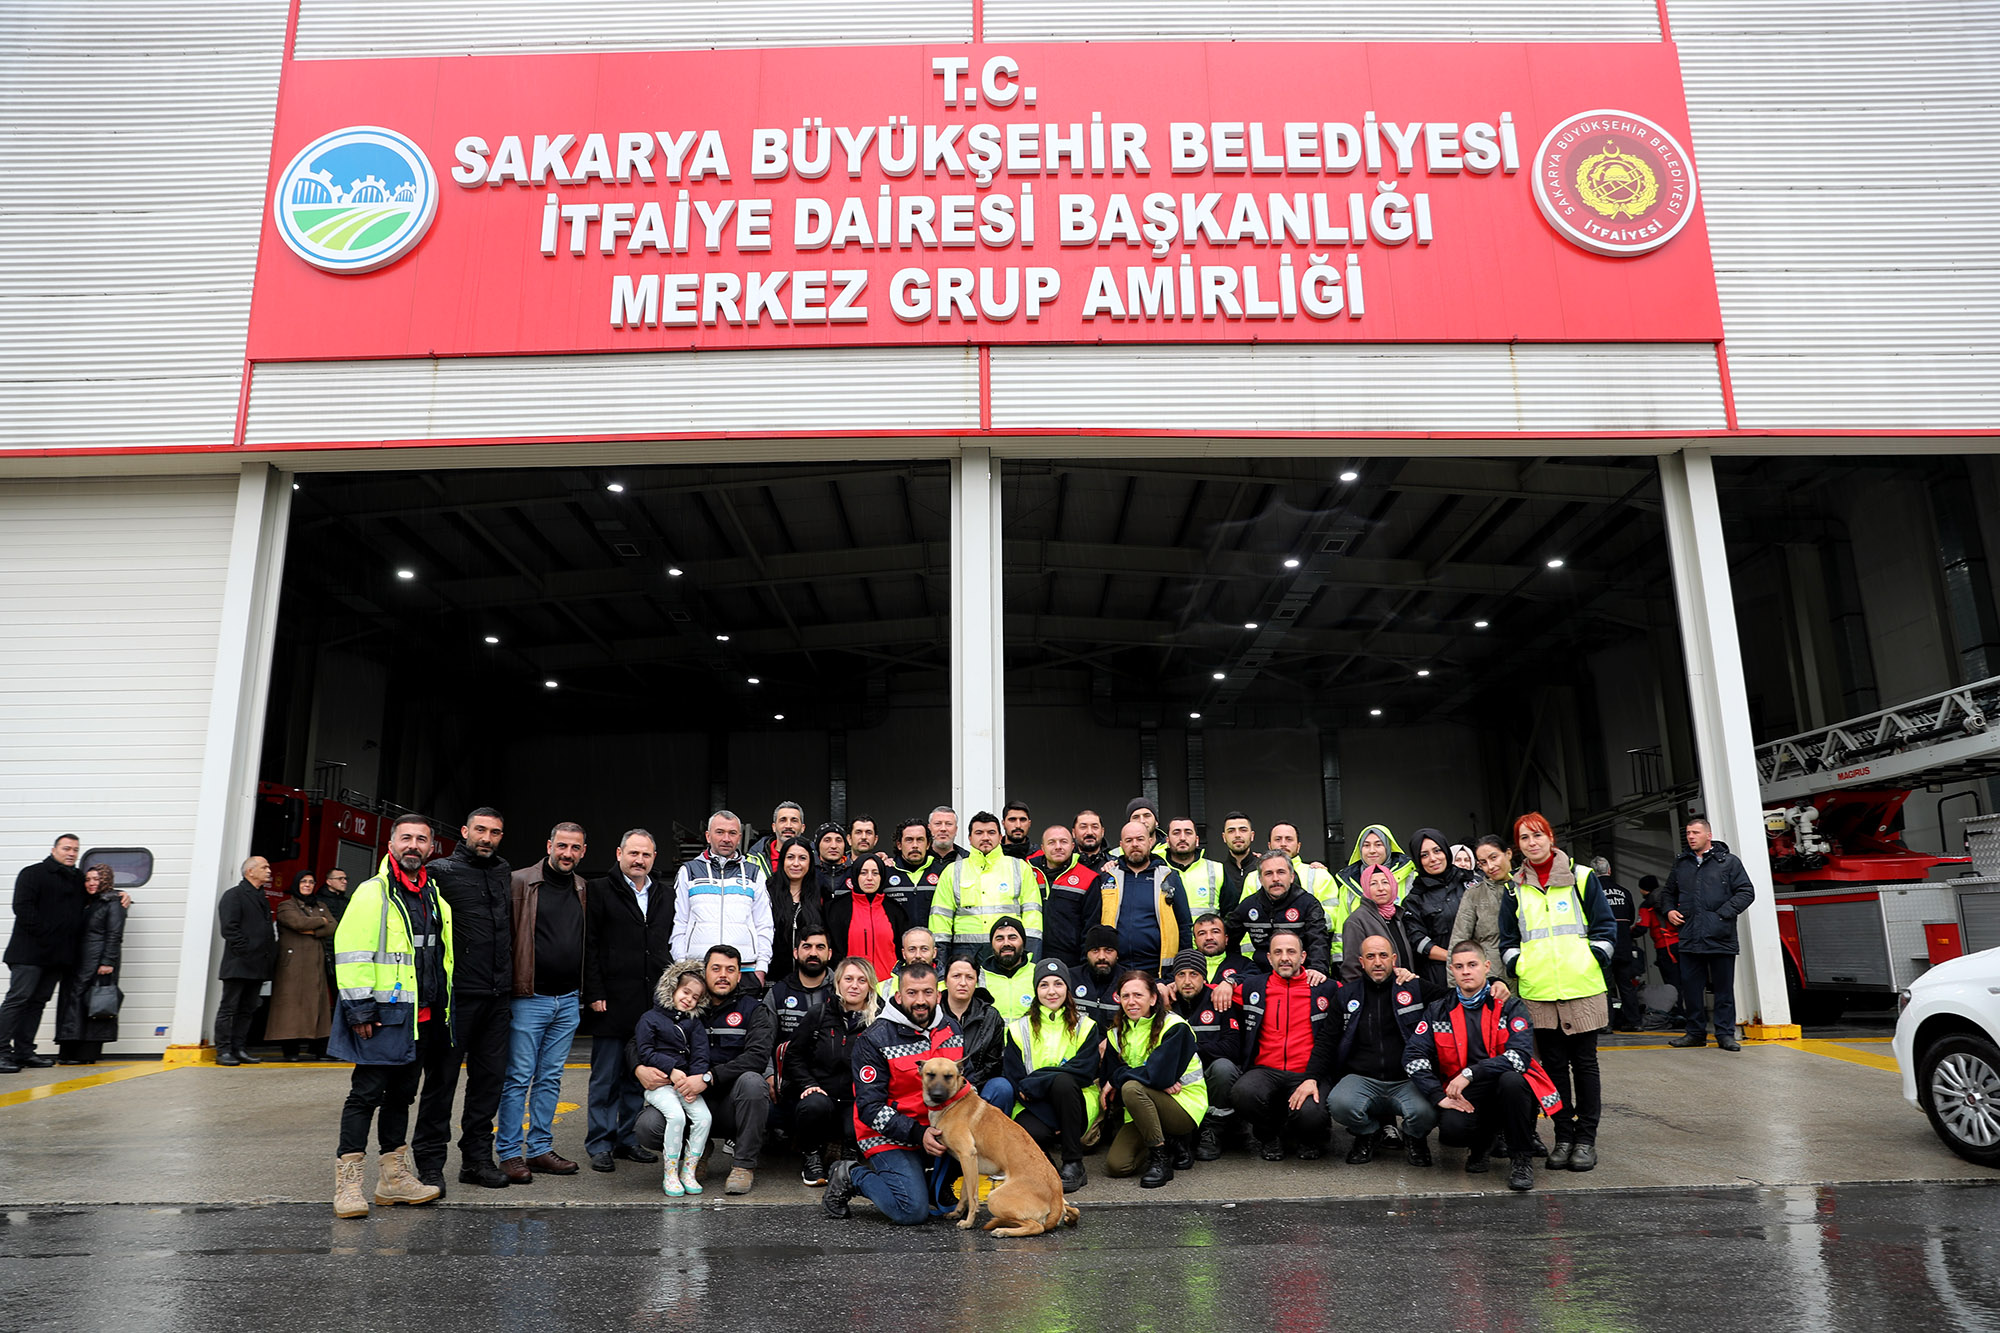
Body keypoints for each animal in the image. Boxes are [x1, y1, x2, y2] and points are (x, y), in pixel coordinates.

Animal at [916, 1056, 1080, 1232]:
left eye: (948, 1076)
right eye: (931, 1074)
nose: (937, 1095)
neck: (953, 1102)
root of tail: (1056, 1196)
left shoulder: (967, 1156)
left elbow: (972, 1198)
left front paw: (968, 1222)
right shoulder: (968, 1163)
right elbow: (965, 1193)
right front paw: (957, 1212)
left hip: (995, 1198)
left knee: (1036, 1226)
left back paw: (1003, 1230)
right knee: (1072, 1210)